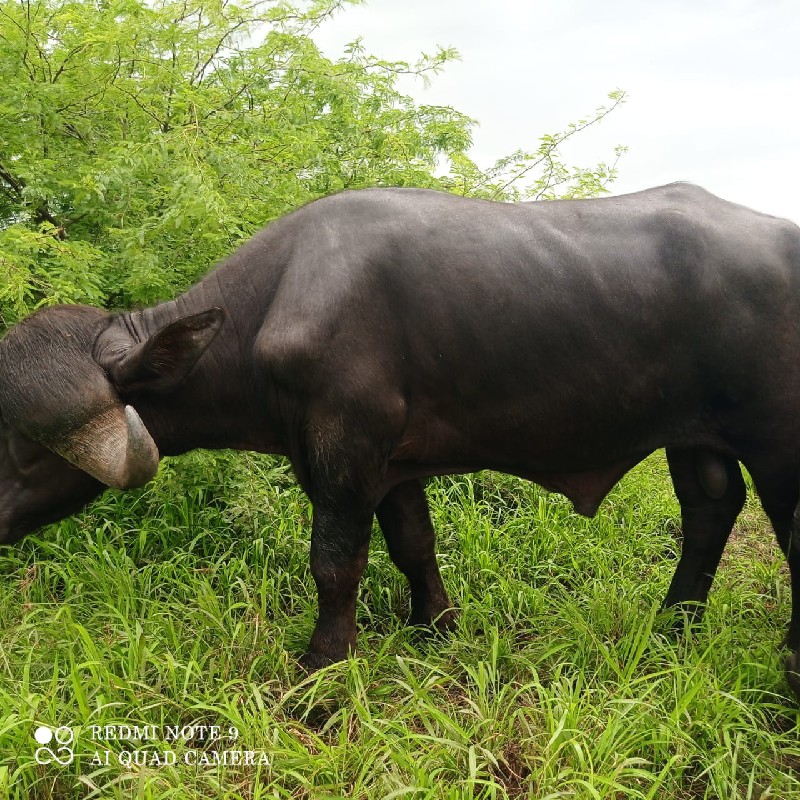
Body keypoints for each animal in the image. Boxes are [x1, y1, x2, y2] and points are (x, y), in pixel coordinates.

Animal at [1, 184, 800, 696]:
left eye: (26, 445)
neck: (273, 305)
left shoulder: (344, 455)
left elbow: (334, 564)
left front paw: (323, 666)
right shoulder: (394, 464)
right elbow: (414, 542)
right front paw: (436, 628)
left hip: (777, 441)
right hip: (695, 436)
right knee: (709, 509)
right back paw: (672, 629)